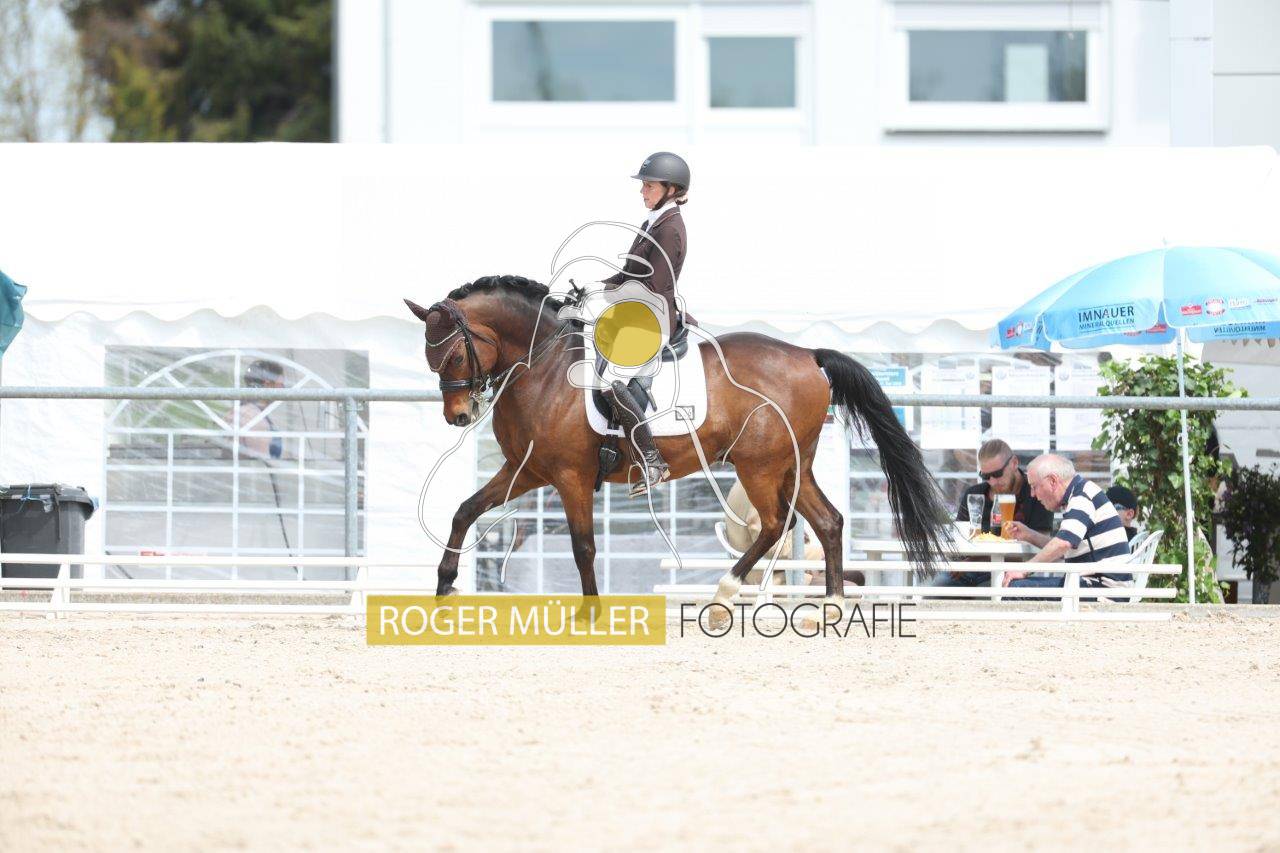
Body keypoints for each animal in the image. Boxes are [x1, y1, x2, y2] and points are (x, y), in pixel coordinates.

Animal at [405, 275, 950, 623]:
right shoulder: (527, 469)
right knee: (828, 520)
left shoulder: (570, 476)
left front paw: (590, 612)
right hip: (794, 463)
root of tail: (807, 355)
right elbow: (465, 510)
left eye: (452, 355)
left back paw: (723, 597)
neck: (543, 367)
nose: (459, 416)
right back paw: (830, 606)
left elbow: (584, 546)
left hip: (759, 465)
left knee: (777, 524)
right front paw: (444, 586)